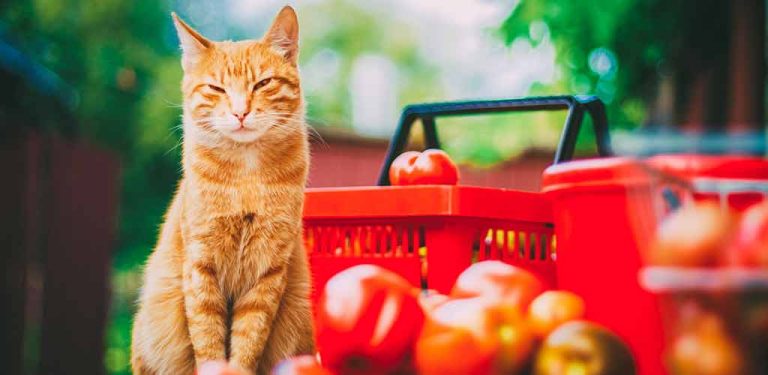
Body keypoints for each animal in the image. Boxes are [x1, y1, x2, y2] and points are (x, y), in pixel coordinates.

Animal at [132, 6, 316, 375]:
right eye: (217, 88)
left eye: (263, 83)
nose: (240, 112)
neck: (246, 177)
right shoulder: (201, 267)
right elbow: (207, 337)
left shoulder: (267, 272)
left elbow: (248, 338)